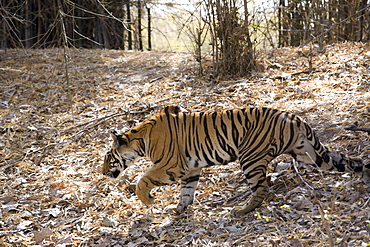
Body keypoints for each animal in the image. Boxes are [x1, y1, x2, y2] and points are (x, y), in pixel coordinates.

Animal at [102, 105, 370, 217]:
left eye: (108, 158)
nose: (103, 173)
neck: (140, 140)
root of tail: (294, 117)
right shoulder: (190, 169)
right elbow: (187, 191)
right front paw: (178, 210)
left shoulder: (172, 165)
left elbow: (142, 179)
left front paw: (149, 201)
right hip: (309, 153)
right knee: (347, 160)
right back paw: (364, 172)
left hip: (250, 157)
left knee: (262, 187)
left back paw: (241, 211)